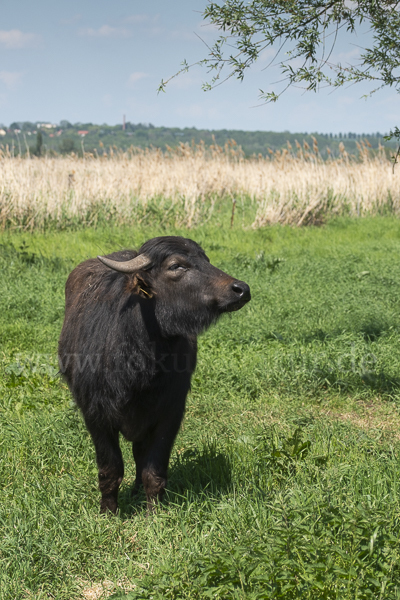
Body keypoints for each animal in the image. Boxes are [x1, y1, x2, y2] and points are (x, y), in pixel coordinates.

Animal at [57, 237, 250, 512]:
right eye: (176, 266)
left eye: (206, 260)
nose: (241, 289)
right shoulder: (95, 414)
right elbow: (110, 469)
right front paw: (108, 512)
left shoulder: (170, 412)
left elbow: (153, 469)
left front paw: (154, 512)